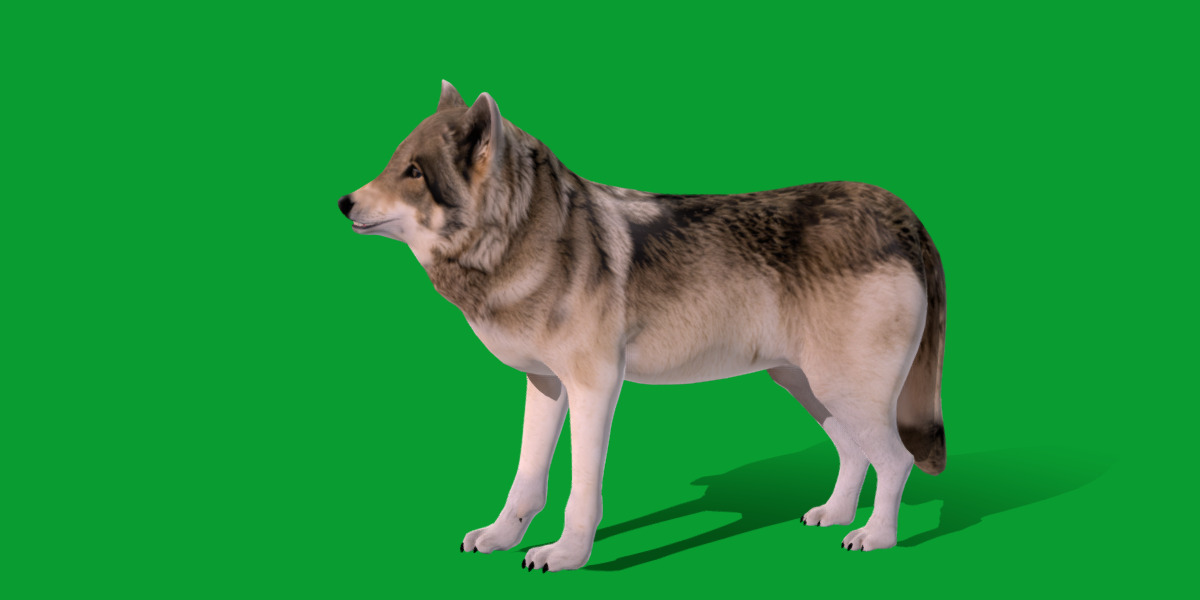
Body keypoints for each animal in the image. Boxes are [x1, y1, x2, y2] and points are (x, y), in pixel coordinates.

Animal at [337, 81, 946, 572]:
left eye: (415, 173)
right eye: (394, 163)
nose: (343, 202)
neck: (523, 236)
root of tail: (901, 212)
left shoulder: (595, 388)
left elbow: (581, 491)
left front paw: (566, 555)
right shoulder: (546, 386)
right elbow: (525, 481)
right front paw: (500, 538)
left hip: (841, 390)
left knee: (895, 460)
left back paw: (876, 537)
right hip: (809, 387)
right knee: (856, 453)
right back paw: (835, 515)